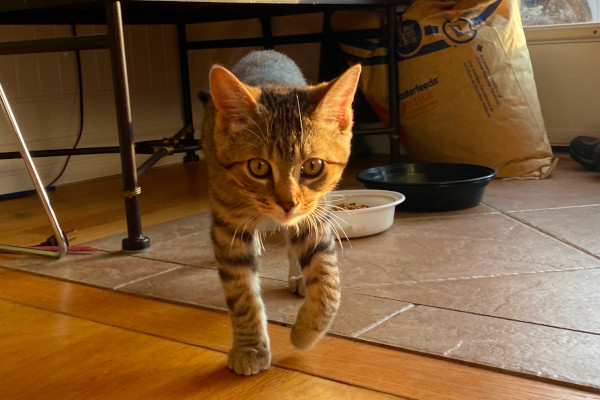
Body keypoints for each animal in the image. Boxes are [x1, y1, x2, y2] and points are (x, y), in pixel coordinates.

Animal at [202, 50, 360, 376]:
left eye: (312, 166)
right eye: (258, 167)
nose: (288, 203)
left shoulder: (314, 216)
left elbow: (328, 282)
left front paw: (305, 333)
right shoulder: (227, 225)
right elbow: (242, 292)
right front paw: (250, 349)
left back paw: (298, 275)